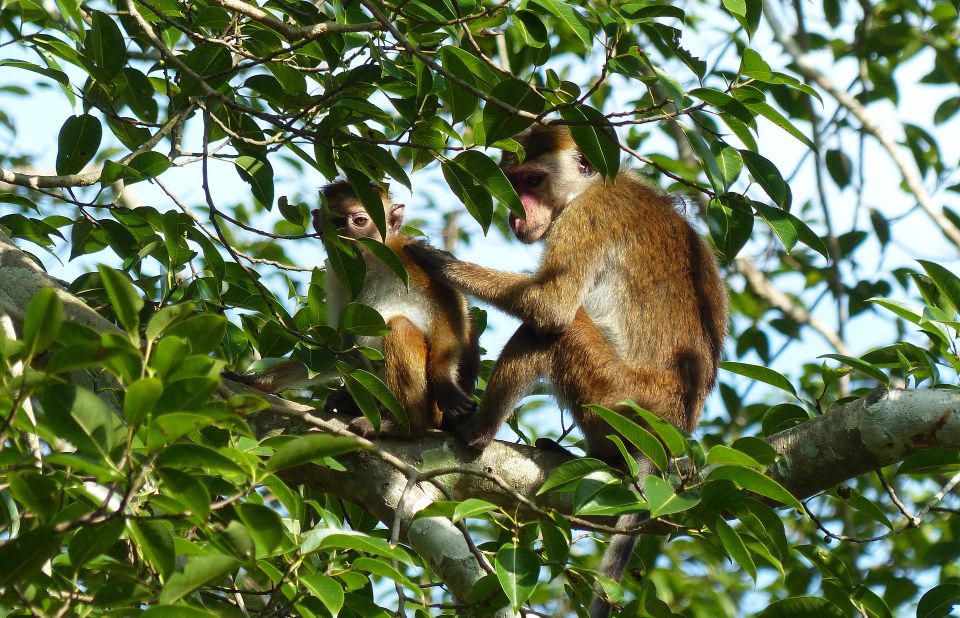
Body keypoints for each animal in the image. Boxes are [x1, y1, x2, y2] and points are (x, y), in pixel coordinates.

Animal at [226, 179, 480, 438]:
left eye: (360, 221)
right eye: (337, 222)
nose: (347, 237)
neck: (369, 264)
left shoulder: (405, 252)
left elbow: (450, 302)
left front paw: (444, 380)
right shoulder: (338, 275)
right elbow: (339, 348)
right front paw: (258, 381)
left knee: (399, 326)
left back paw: (406, 425)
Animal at [404, 122, 728, 612]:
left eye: (533, 181)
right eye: (513, 182)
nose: (518, 217)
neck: (591, 187)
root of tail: (672, 428)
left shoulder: (586, 219)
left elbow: (551, 306)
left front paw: (440, 263)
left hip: (616, 396)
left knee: (557, 328)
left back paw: (477, 431)